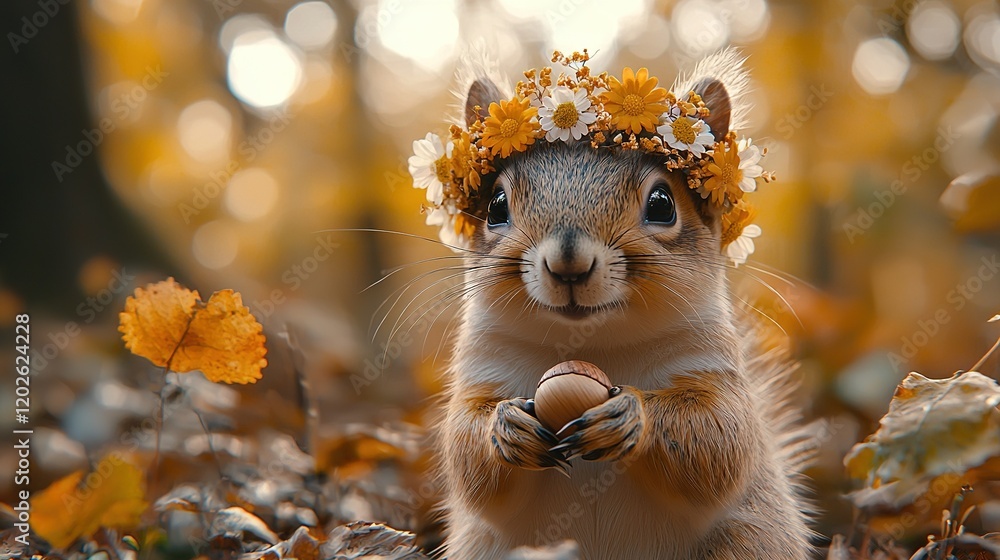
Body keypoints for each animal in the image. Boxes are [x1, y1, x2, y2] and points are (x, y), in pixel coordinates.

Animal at [430, 50, 815, 560]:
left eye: (662, 204)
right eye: (495, 206)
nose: (568, 263)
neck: (594, 345)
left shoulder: (709, 366)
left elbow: (719, 440)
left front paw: (631, 416)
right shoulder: (484, 367)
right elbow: (465, 452)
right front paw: (505, 426)